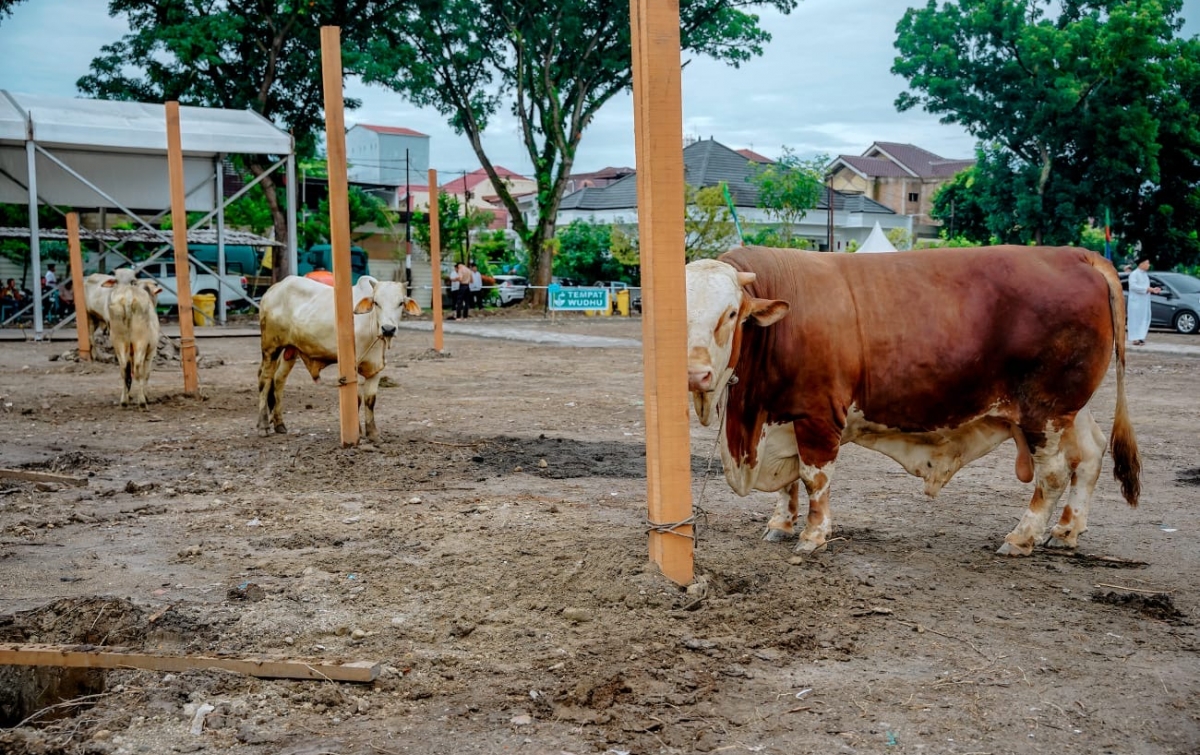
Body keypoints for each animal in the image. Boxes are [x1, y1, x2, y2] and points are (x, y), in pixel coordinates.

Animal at [103, 265, 163, 405]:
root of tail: (129, 297)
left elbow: (129, 374)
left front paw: (129, 395)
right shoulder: (151, 350)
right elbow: (146, 374)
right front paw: (145, 396)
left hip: (119, 342)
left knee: (124, 369)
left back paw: (124, 401)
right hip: (140, 342)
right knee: (138, 368)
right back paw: (142, 402)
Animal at [254, 274, 422, 441]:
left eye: (400, 303)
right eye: (376, 302)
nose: (388, 329)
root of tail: (274, 289)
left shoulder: (375, 367)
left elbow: (370, 400)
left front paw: (373, 434)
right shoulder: (353, 365)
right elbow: (356, 399)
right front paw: (358, 432)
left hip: (291, 350)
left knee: (279, 380)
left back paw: (279, 424)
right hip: (271, 347)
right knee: (265, 380)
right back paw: (263, 426)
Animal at [691, 244, 1137, 556]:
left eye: (731, 314)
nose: (697, 374)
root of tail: (1076, 254)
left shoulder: (818, 415)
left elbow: (813, 476)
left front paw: (813, 535)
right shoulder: (782, 414)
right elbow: (788, 481)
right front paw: (781, 525)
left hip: (1042, 412)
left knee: (1055, 473)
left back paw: (1021, 537)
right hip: (1069, 410)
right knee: (1090, 455)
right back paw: (1065, 531)